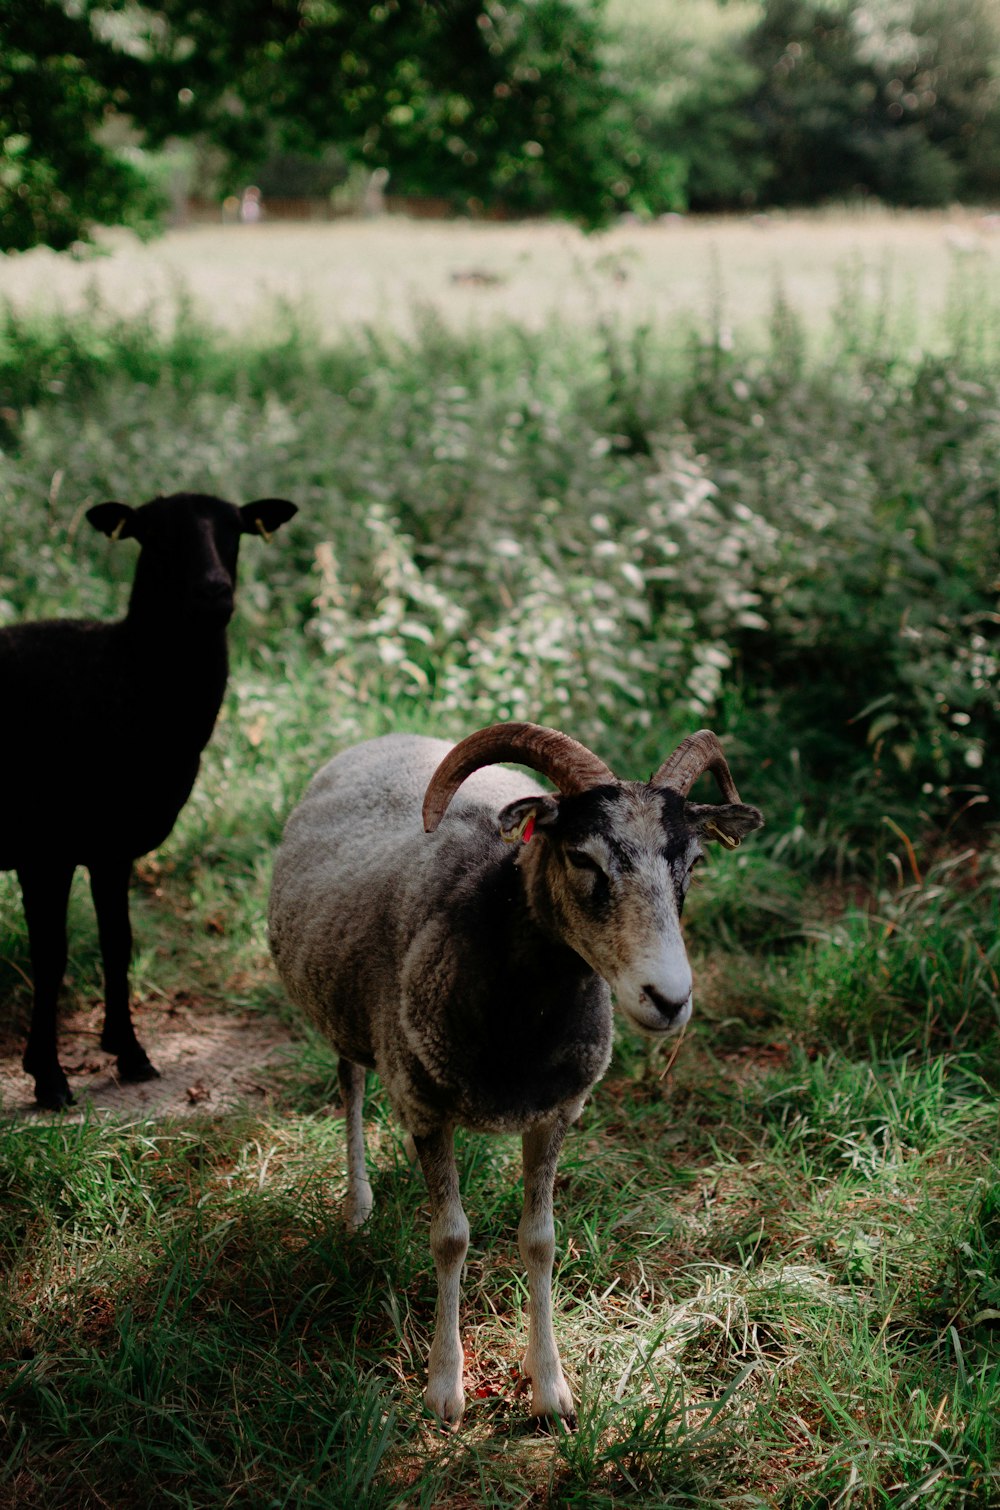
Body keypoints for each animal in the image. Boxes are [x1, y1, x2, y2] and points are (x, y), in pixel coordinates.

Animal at [0, 495, 297, 1111]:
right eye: (154, 535)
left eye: (235, 530)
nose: (214, 591)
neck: (121, 671)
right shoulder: (45, 850)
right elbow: (51, 956)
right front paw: (48, 1075)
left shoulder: (113, 847)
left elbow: (119, 942)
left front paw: (131, 1052)